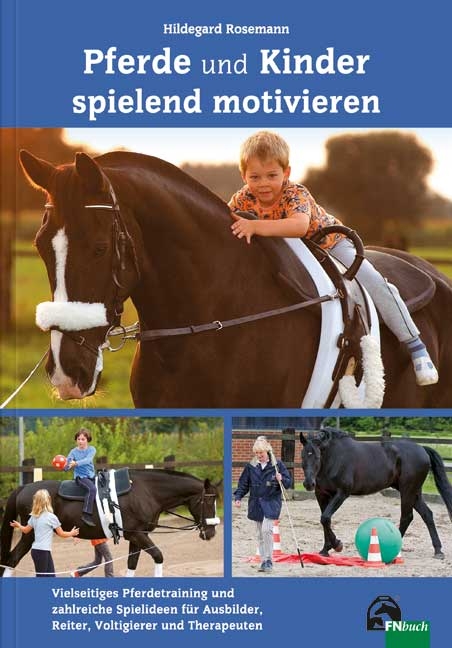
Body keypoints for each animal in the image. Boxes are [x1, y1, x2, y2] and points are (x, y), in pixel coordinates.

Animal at [0, 469, 221, 577]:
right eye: (208, 501)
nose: (211, 533)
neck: (146, 491)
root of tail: (24, 488)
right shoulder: (137, 535)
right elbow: (158, 556)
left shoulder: (137, 536)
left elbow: (132, 565)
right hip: (29, 535)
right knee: (11, 561)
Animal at [300, 427, 452, 559]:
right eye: (302, 456)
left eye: (317, 456)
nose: (308, 484)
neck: (334, 458)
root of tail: (422, 449)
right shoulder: (321, 495)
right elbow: (325, 520)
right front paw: (325, 550)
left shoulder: (341, 493)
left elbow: (325, 518)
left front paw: (337, 545)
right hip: (415, 492)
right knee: (427, 514)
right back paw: (438, 551)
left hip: (407, 490)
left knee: (407, 517)